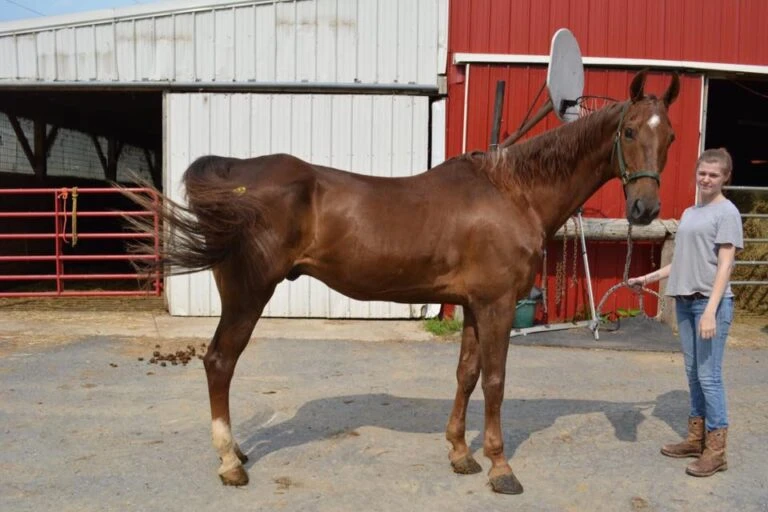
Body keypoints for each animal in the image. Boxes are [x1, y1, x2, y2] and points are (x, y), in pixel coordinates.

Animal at [125, 70, 679, 495]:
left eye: (670, 136)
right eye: (630, 131)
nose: (645, 209)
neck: (514, 192)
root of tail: (236, 173)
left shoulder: (474, 305)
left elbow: (466, 375)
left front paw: (460, 454)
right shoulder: (498, 304)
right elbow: (496, 382)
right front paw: (500, 468)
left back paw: (238, 451)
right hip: (248, 293)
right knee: (220, 362)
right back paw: (230, 462)